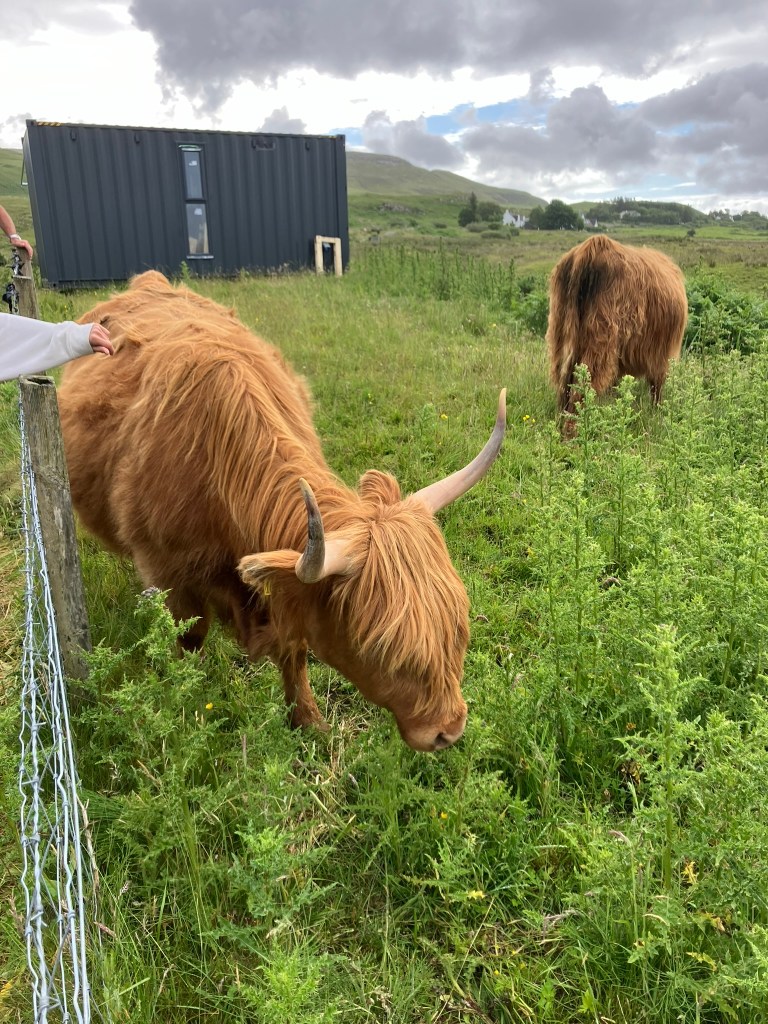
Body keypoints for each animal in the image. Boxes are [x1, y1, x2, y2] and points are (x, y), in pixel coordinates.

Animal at [57, 271, 506, 752]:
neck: (218, 463)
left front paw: (308, 720)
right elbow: (190, 639)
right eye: (379, 647)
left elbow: (295, 650)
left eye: (457, 626)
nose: (449, 730)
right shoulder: (169, 571)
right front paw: (188, 707)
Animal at [546, 235, 688, 427]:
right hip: (601, 337)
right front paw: (657, 415)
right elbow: (656, 386)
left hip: (560, 331)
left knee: (564, 387)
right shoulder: (661, 351)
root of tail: (591, 248)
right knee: (581, 390)